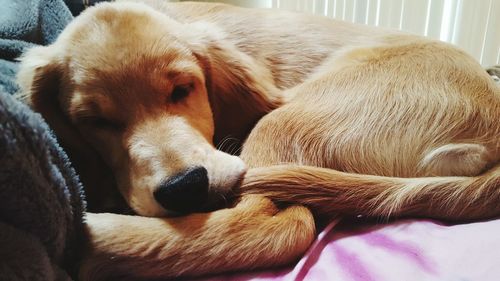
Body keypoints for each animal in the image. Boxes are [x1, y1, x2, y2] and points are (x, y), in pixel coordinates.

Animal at [16, 0, 500, 278]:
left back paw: (100, 240)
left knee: (276, 225)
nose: (185, 187)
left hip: (284, 121)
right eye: (94, 120)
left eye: (183, 88)